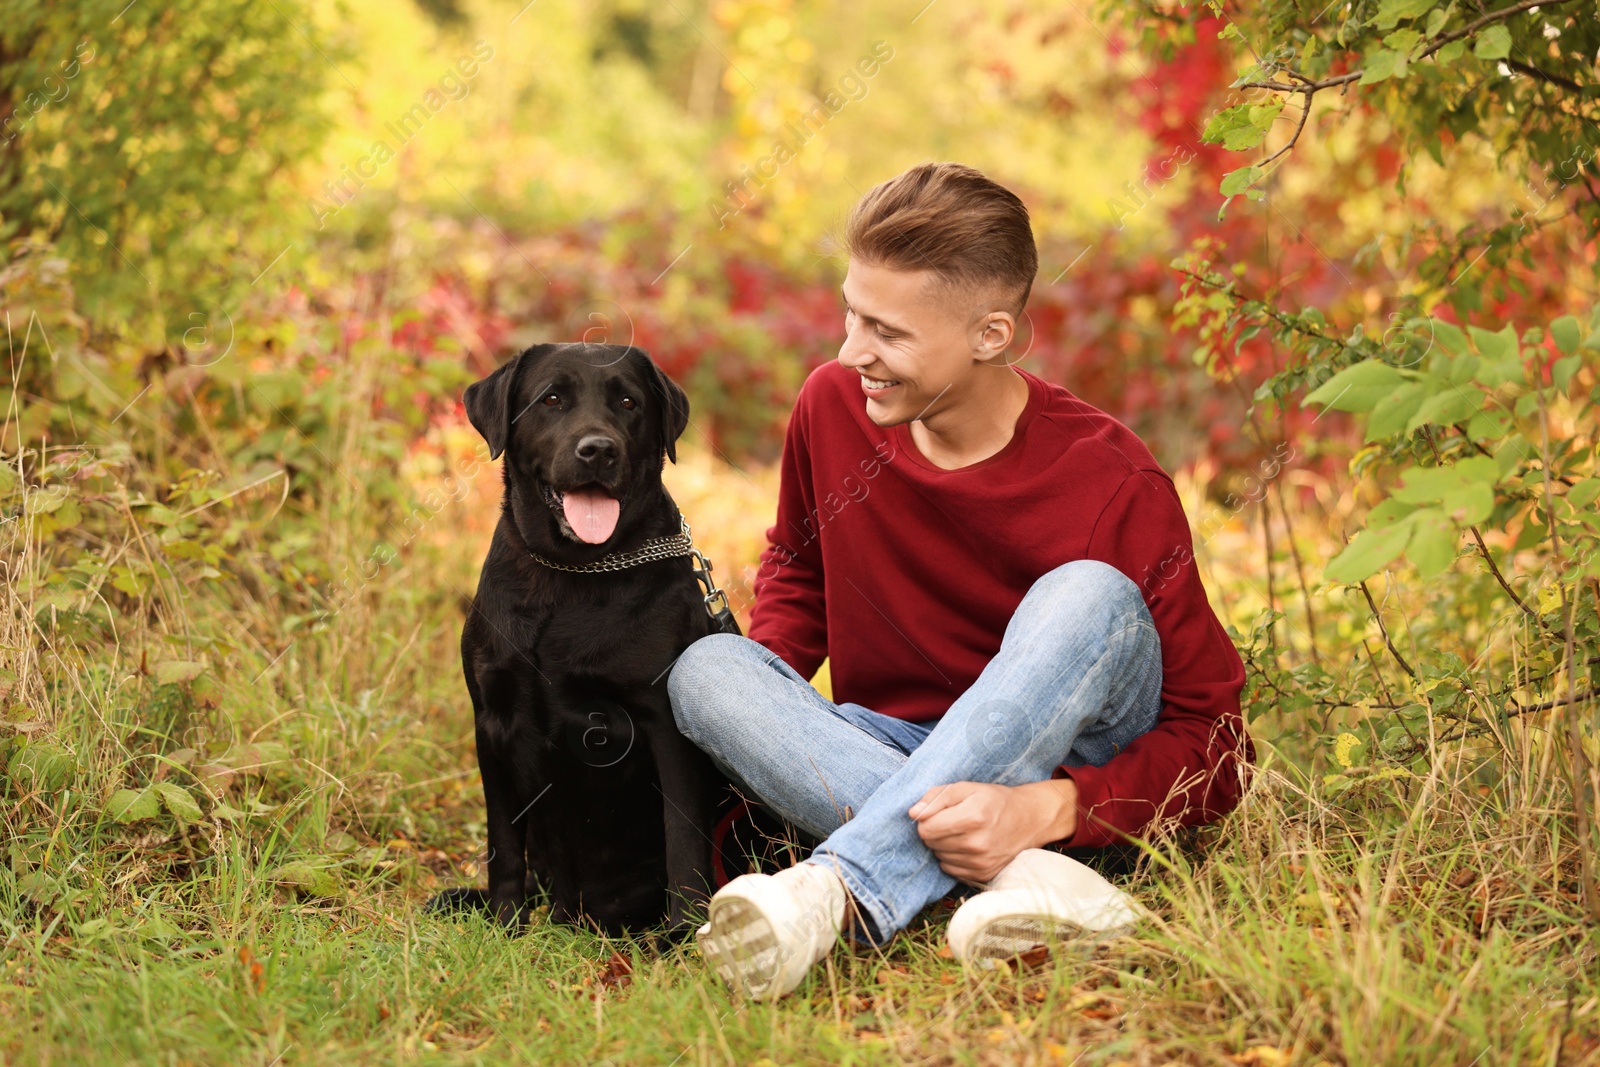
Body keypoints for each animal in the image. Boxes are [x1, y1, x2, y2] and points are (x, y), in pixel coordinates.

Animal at [428, 342, 732, 934]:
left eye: (628, 402)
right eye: (551, 399)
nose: (598, 450)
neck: (570, 573)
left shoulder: (664, 723)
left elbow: (684, 843)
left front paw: (685, 934)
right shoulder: (490, 721)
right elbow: (503, 843)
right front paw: (504, 924)